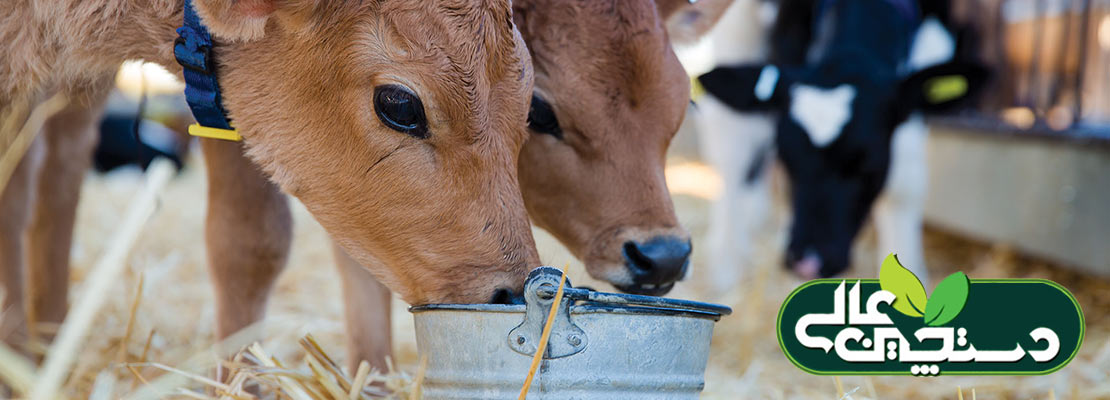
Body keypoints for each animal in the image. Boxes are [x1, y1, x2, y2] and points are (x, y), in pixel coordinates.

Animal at [697, 0, 985, 284]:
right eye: (789, 159)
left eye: (866, 163)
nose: (808, 262)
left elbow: (903, 187)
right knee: (730, 139)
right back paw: (725, 259)